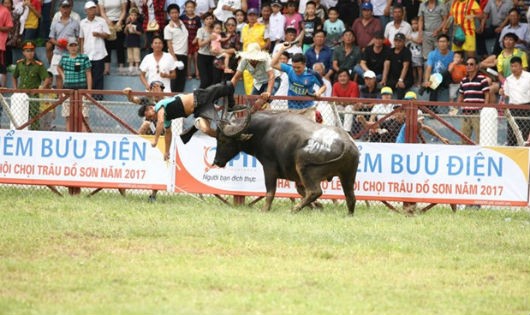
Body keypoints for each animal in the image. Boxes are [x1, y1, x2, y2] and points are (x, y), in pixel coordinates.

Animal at [211, 110, 358, 215]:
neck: (264, 131)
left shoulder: (269, 167)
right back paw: (348, 214)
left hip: (304, 168)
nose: (217, 161)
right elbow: (300, 191)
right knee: (350, 197)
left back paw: (294, 209)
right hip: (348, 175)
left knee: (314, 191)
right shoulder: (297, 178)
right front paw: (318, 206)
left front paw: (265, 209)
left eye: (223, 140)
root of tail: (346, 143)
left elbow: (270, 191)